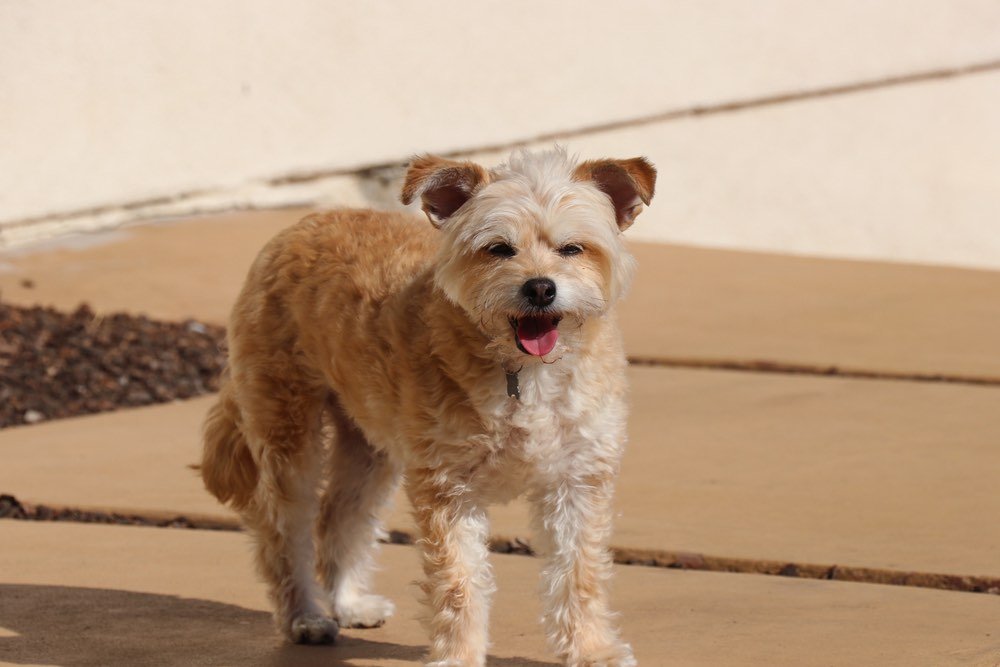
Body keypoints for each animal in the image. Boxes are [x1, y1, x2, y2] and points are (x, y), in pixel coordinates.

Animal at [203, 147, 656, 667]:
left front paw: (592, 650)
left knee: (339, 518)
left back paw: (349, 603)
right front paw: (458, 657)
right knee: (283, 531)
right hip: (287, 433)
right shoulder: (448, 489)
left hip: (370, 446)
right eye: (499, 249)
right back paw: (305, 616)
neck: (523, 373)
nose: (540, 288)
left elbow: (580, 573)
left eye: (572, 249)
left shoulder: (578, 481)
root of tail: (301, 224)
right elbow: (459, 583)